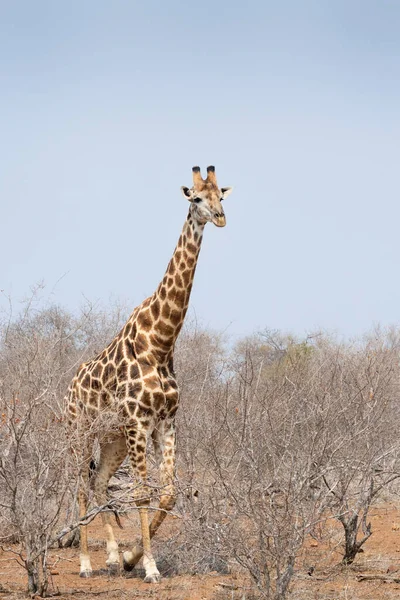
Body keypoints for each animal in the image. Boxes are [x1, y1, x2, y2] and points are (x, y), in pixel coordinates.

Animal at [67, 164, 233, 580]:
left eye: (221, 196)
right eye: (196, 197)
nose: (220, 217)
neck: (160, 342)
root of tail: (70, 385)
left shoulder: (165, 422)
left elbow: (168, 493)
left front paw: (130, 557)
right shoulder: (138, 422)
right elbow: (143, 493)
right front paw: (151, 568)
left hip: (112, 438)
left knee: (99, 481)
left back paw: (111, 557)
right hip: (81, 430)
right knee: (80, 486)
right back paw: (85, 564)